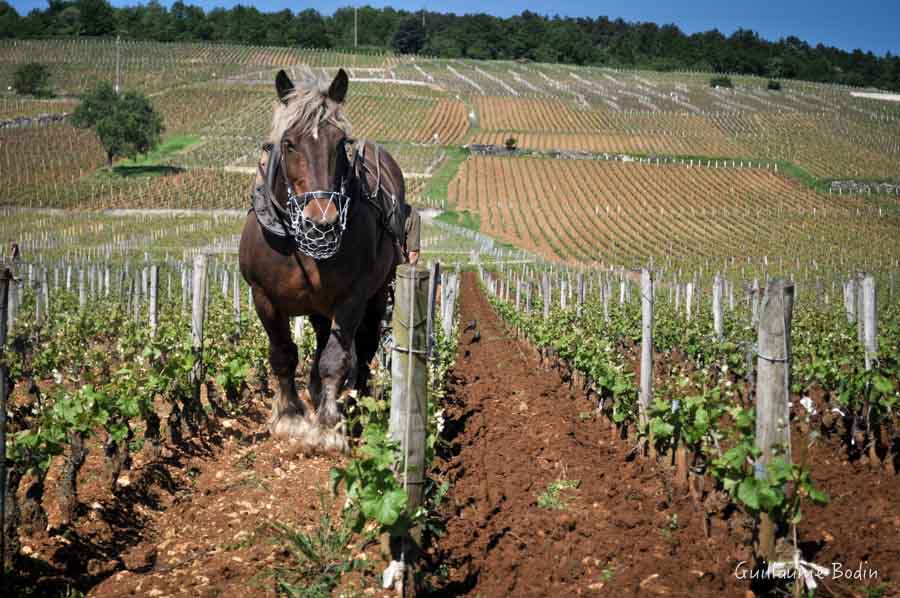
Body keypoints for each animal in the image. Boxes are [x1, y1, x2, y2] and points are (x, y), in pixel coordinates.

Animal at [241, 69, 406, 454]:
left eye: (340, 142)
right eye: (289, 144)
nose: (323, 219)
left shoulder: (352, 298)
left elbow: (335, 359)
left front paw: (330, 426)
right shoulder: (262, 297)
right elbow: (283, 354)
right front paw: (290, 416)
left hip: (377, 295)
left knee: (365, 346)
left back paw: (357, 403)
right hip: (317, 306)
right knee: (319, 338)